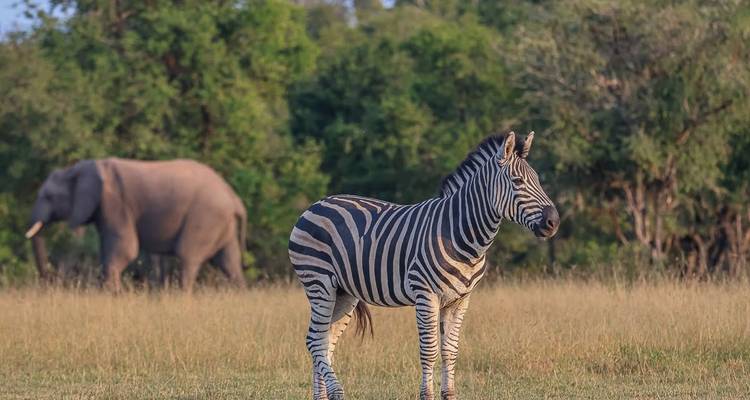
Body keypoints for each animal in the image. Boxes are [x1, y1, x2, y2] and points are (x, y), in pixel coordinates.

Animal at [25, 158, 248, 292]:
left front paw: (113, 294)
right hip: (222, 224)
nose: (50, 280)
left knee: (188, 257)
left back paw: (180, 296)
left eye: (49, 196)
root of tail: (234, 197)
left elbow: (125, 250)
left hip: (205, 217)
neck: (79, 168)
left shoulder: (116, 204)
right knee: (229, 262)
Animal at [289, 131, 559, 400]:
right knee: (315, 341)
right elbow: (429, 350)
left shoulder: (461, 300)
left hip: (343, 293)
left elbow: (450, 350)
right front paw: (427, 395)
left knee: (324, 341)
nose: (553, 222)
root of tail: (316, 205)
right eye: (517, 181)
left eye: (537, 180)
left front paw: (449, 394)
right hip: (319, 282)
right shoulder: (426, 294)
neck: (462, 234)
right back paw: (336, 391)